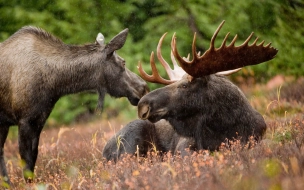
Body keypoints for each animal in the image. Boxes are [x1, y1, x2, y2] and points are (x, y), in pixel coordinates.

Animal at [0, 26, 148, 184]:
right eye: (123, 62)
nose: (143, 87)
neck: (55, 83)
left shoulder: (38, 119)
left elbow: (33, 157)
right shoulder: (25, 120)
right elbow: (27, 162)